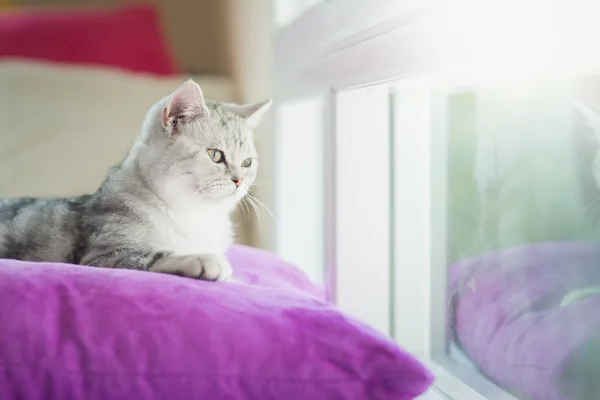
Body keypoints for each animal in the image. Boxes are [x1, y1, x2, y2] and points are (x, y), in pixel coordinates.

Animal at [0, 79, 270, 282]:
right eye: (215, 155)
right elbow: (152, 256)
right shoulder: (102, 256)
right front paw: (200, 258)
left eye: (247, 162)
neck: (192, 214)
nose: (239, 181)